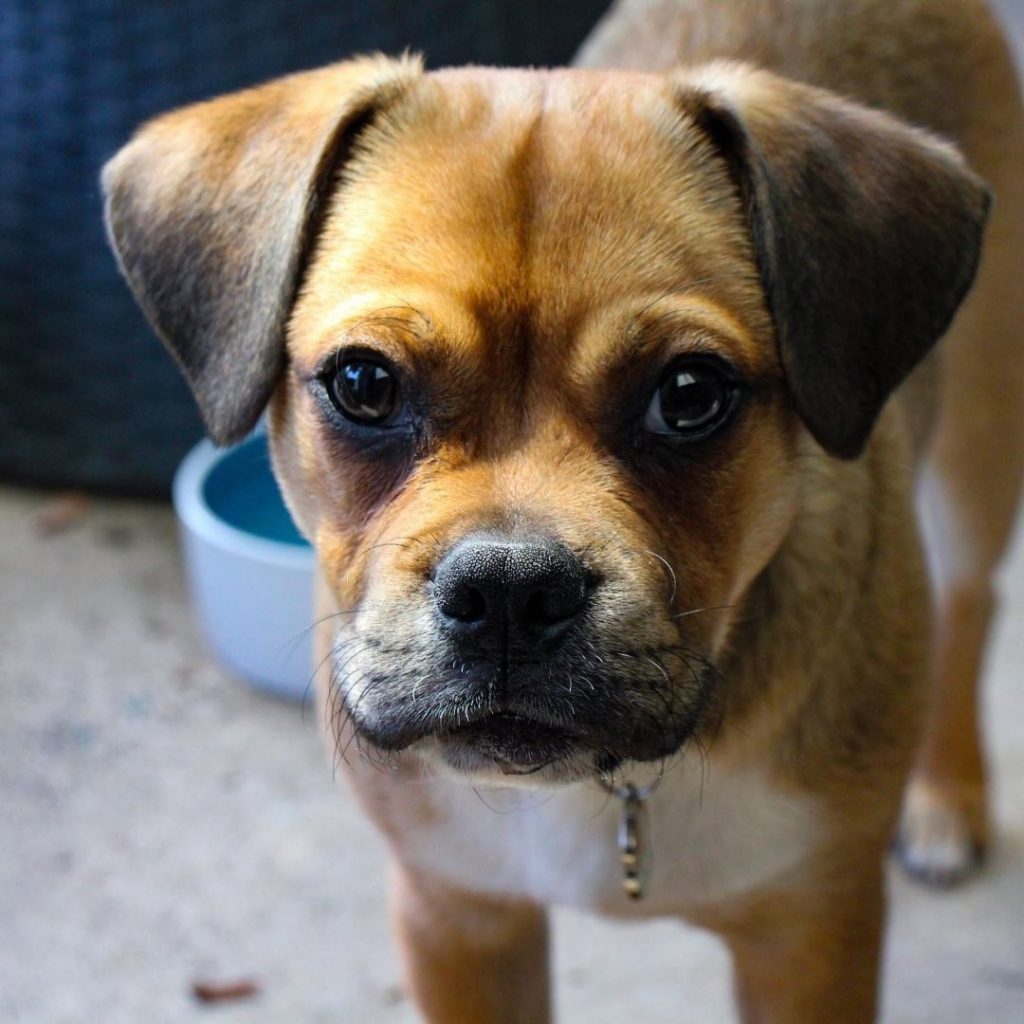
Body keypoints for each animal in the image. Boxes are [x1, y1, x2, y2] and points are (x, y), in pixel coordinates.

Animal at [97, 0, 1024, 1019]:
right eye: (364, 384)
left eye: (690, 395)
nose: (509, 589)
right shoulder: (458, 916)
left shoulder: (812, 937)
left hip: (981, 439)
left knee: (970, 602)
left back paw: (947, 798)